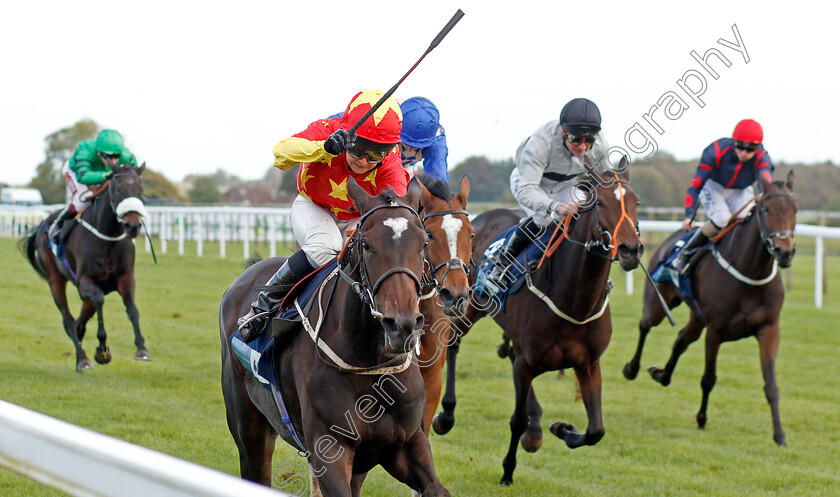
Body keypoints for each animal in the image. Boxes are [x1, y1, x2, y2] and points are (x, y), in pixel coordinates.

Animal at [20, 165, 149, 370]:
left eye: (140, 189)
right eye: (117, 189)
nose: (133, 225)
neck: (108, 238)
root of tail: (43, 224)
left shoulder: (126, 277)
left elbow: (132, 309)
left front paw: (141, 348)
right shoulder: (83, 282)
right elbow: (99, 300)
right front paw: (102, 350)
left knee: (81, 316)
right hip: (55, 280)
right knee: (68, 320)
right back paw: (82, 359)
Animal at [220, 177, 450, 496]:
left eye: (423, 242)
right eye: (366, 244)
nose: (401, 324)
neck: (371, 366)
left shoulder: (405, 444)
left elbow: (437, 488)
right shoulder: (329, 449)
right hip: (249, 427)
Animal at [436, 157, 640, 482]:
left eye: (636, 202)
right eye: (601, 203)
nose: (631, 249)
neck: (574, 300)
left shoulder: (587, 363)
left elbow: (596, 430)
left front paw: (562, 428)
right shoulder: (527, 362)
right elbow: (516, 420)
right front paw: (508, 471)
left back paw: (536, 429)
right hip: (468, 302)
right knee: (453, 342)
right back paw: (447, 414)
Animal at [624, 170, 796, 446]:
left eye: (795, 209)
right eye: (766, 210)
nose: (785, 252)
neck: (750, 273)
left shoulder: (769, 330)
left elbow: (771, 385)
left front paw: (779, 435)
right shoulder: (715, 331)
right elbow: (709, 379)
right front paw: (702, 419)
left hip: (697, 318)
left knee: (681, 340)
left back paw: (662, 374)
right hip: (659, 303)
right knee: (645, 325)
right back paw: (632, 368)